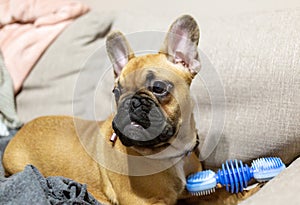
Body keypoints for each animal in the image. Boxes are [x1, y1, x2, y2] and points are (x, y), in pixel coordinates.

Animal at [3, 15, 203, 204]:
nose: (130, 102)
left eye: (159, 88)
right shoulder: (143, 202)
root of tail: (20, 131)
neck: (172, 154)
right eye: (117, 92)